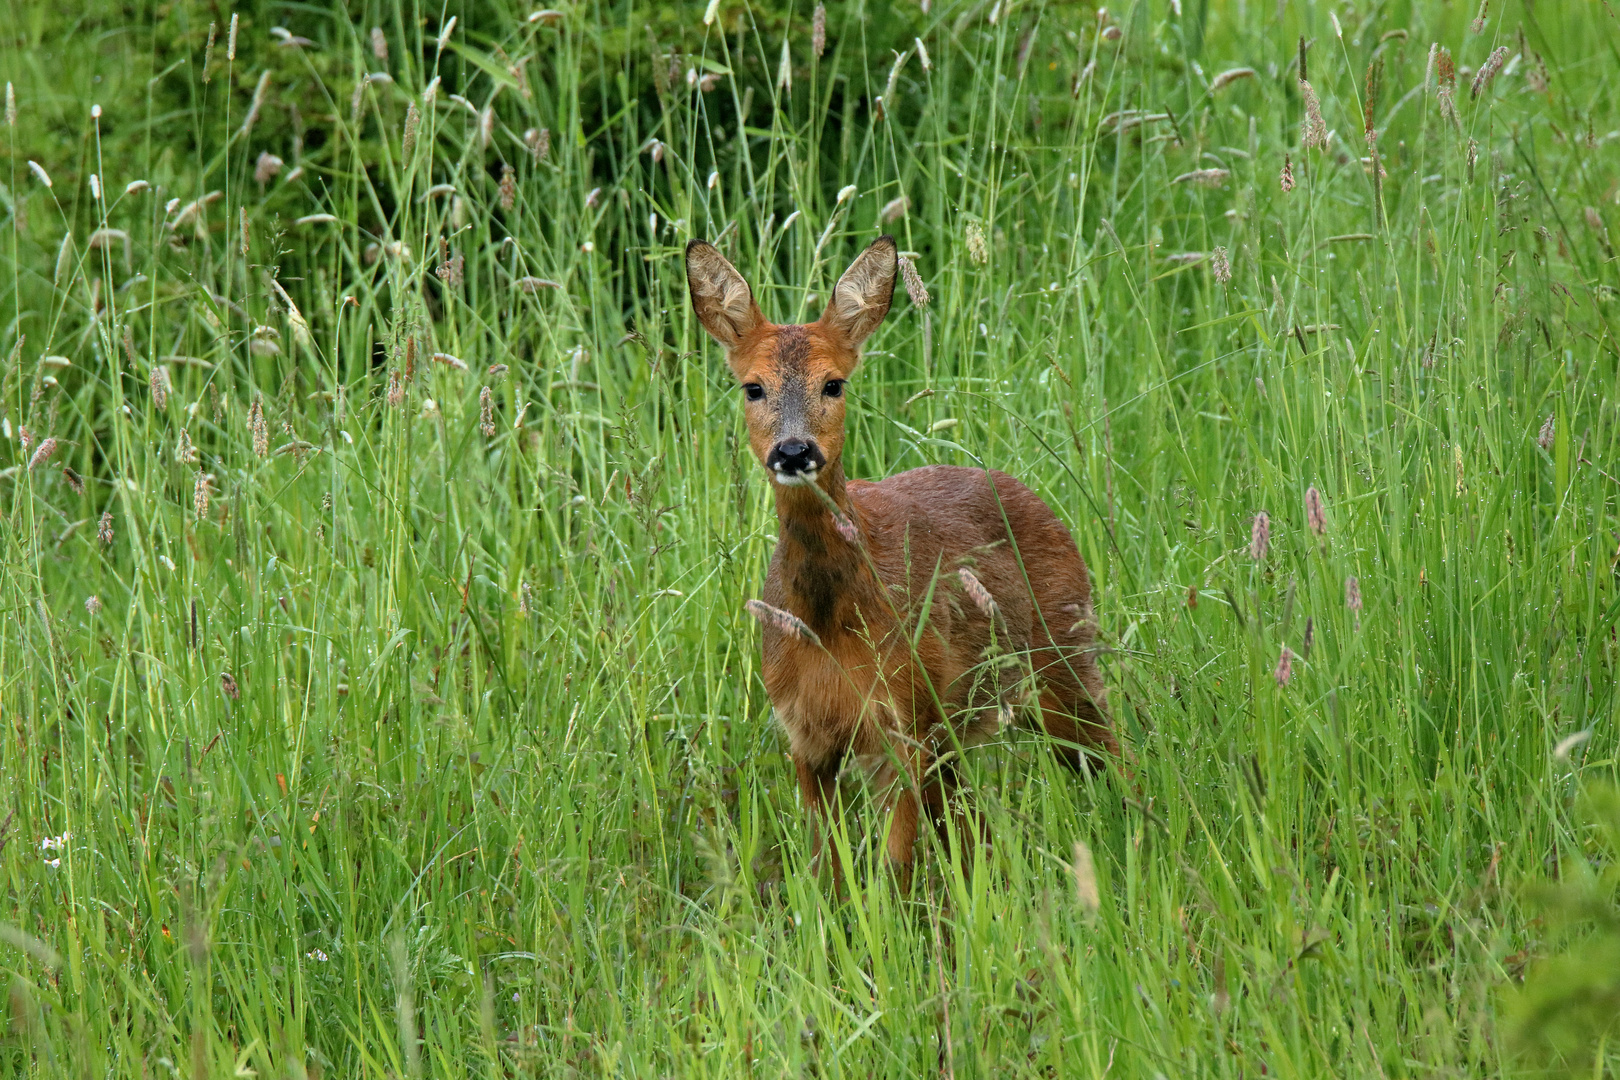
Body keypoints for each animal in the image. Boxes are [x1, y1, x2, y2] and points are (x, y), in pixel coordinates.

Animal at [686, 234, 1127, 887]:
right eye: (753, 387)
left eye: (834, 383)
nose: (793, 451)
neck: (827, 627)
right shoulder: (806, 737)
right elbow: (826, 870)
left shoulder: (905, 721)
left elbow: (892, 868)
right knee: (971, 828)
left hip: (1062, 662)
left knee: (1119, 755)